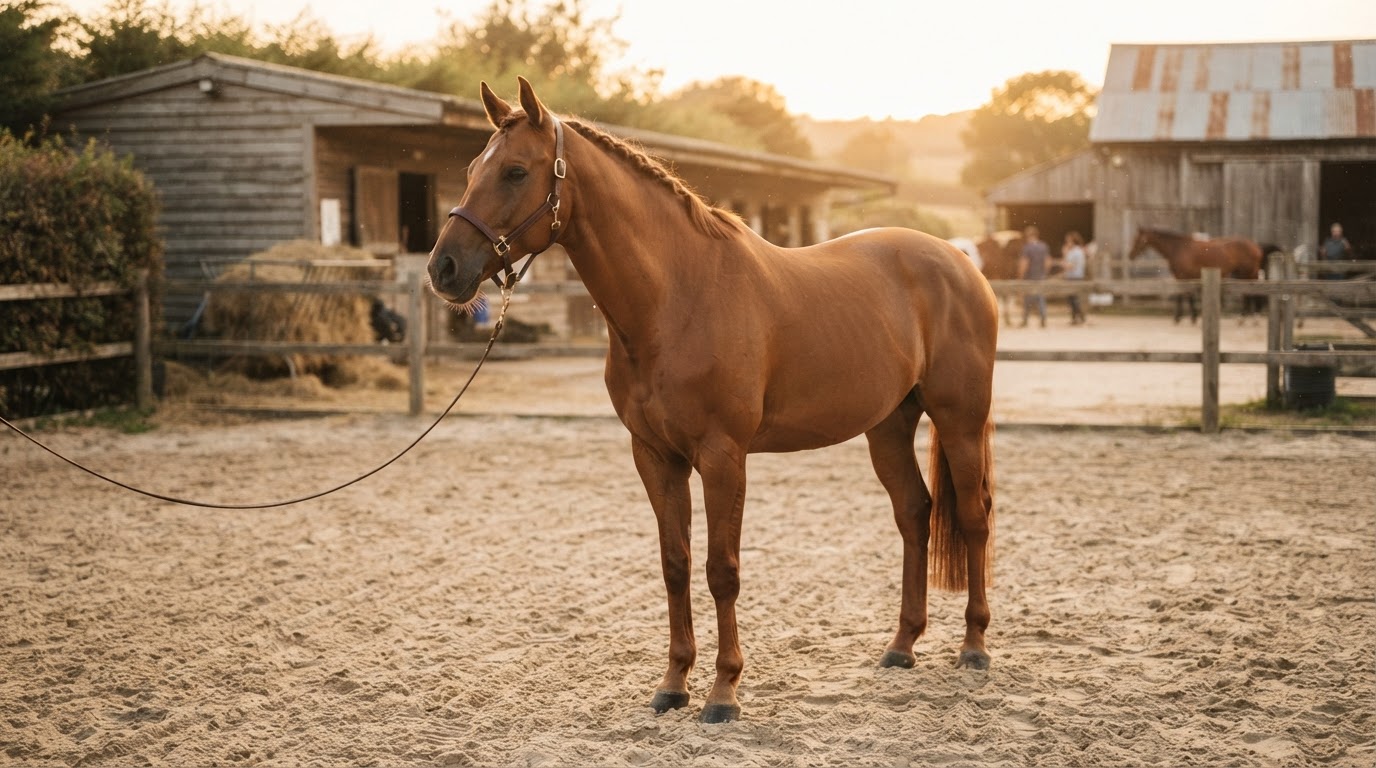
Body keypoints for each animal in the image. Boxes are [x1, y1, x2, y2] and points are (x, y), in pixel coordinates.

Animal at [426, 79, 999, 723]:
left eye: (516, 172)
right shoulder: (655, 456)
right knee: (914, 514)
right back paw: (902, 645)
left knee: (974, 517)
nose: (444, 268)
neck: (677, 298)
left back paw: (974, 646)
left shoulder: (724, 456)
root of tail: (961, 263)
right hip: (889, 427)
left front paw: (724, 693)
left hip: (960, 420)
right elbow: (675, 565)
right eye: (471, 169)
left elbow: (721, 570)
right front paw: (674, 684)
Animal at [1128, 227, 1264, 324]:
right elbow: (1186, 295)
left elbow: (1184, 295)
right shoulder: (1182, 277)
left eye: (1138, 240)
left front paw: (1183, 318)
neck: (1178, 248)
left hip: (1246, 274)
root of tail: (1255, 247)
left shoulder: (1183, 277)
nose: (1130, 255)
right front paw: (1189, 317)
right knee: (1248, 294)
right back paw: (1246, 319)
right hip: (1244, 275)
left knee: (1249, 295)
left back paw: (1248, 319)